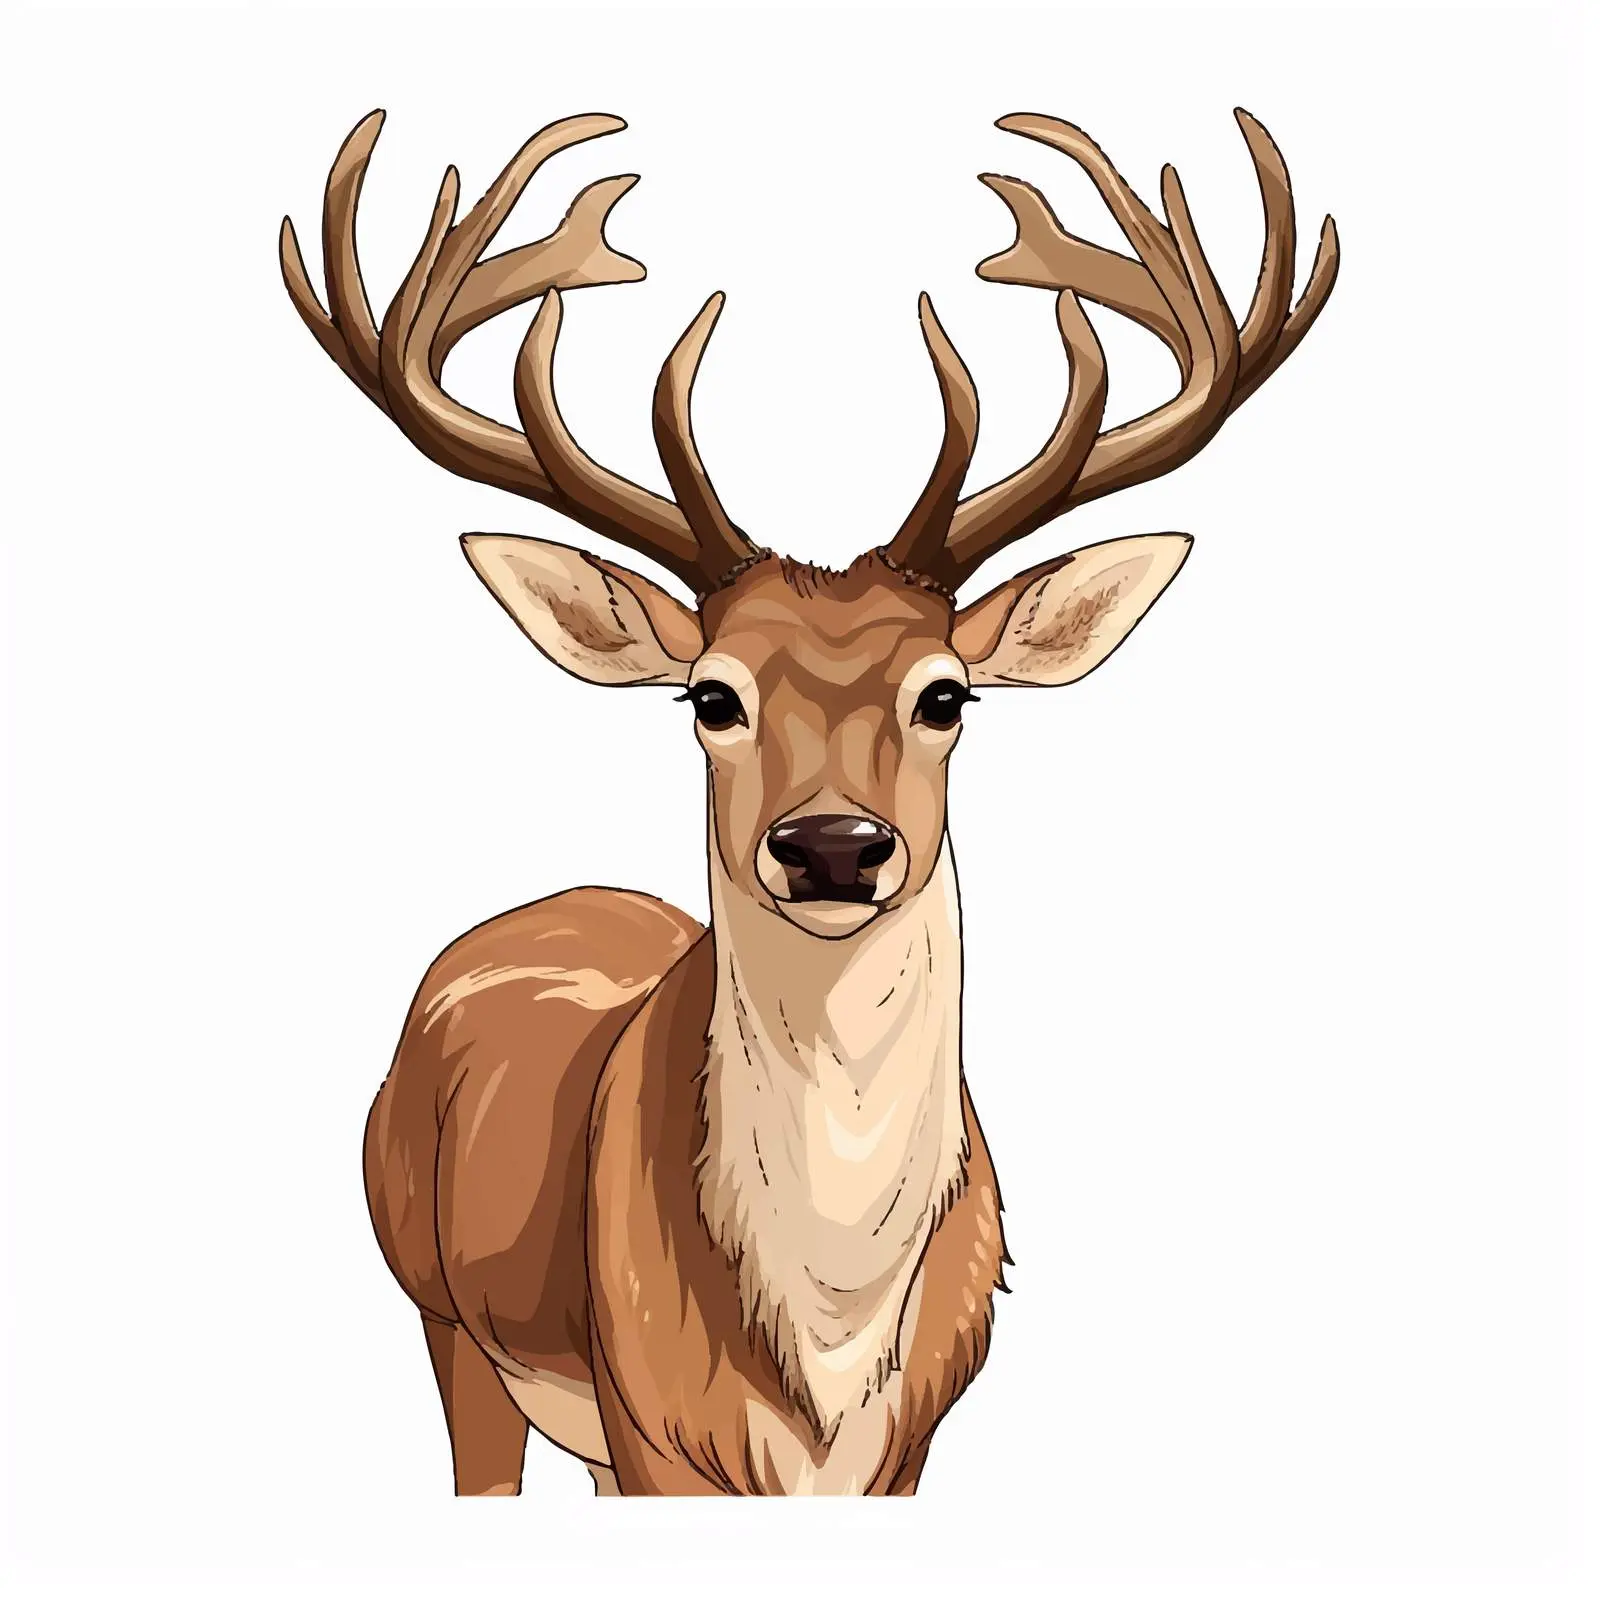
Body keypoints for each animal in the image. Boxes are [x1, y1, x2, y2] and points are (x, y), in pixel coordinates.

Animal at [280, 106, 1337, 1497]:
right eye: (708, 695)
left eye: (946, 694)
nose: (834, 844)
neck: (827, 1356)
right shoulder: (646, 1419)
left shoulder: (914, 1437)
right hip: (446, 1314)